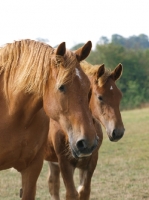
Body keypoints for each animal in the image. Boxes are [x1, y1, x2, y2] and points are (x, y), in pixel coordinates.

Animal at [44, 61, 125, 200]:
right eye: (100, 97)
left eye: (119, 96)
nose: (118, 132)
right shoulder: (64, 162)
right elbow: (71, 194)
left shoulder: (90, 161)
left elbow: (84, 191)